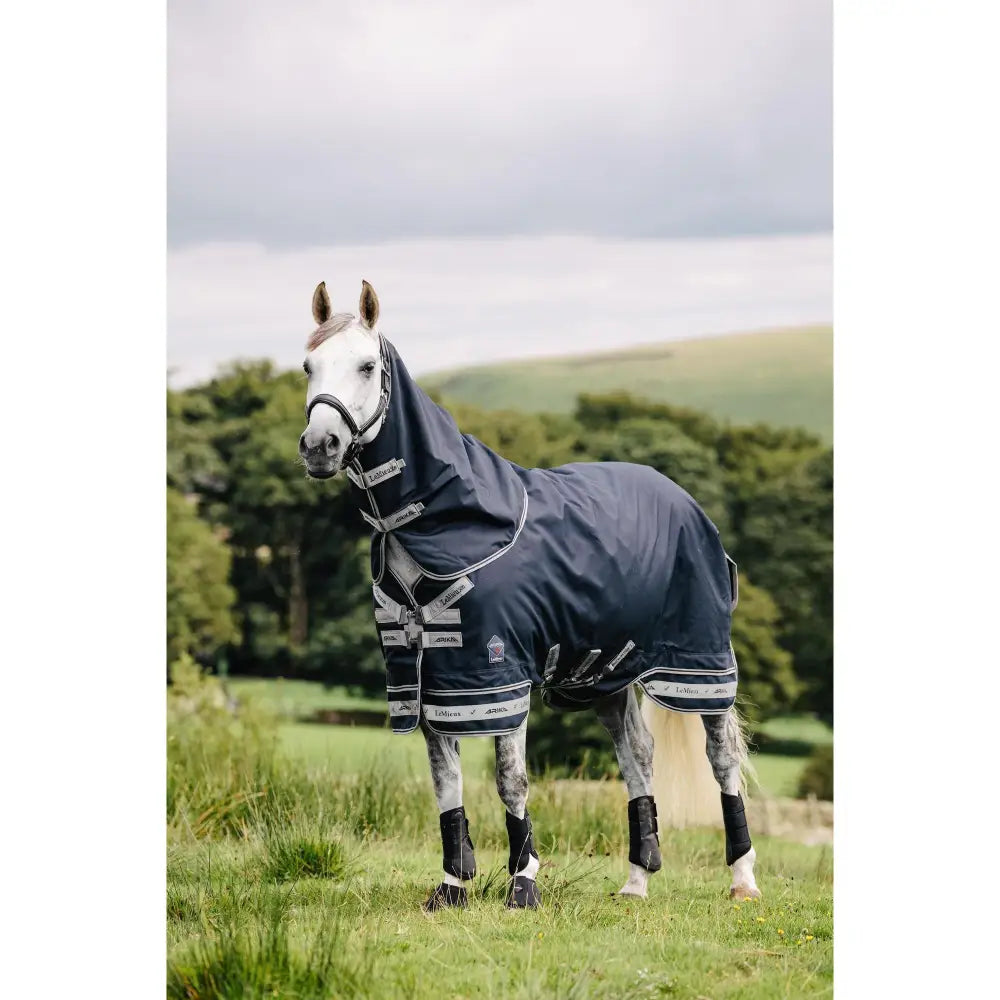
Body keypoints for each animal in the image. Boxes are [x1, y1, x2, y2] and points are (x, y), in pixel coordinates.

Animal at [298, 279, 760, 910]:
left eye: (367, 365)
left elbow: (510, 779)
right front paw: (451, 887)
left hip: (700, 664)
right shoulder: (432, 676)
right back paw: (636, 882)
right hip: (609, 675)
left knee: (722, 758)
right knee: (637, 756)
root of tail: (684, 498)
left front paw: (523, 883)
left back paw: (743, 879)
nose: (319, 445)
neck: (443, 521)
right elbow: (446, 782)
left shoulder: (500, 672)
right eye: (308, 365)